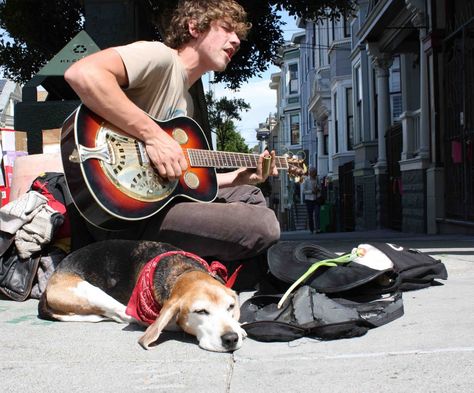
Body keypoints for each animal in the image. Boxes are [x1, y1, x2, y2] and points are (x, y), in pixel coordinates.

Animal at [38, 239, 246, 352]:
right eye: (200, 311)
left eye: (230, 306)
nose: (231, 338)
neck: (182, 270)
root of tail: (54, 276)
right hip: (91, 292)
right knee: (121, 314)